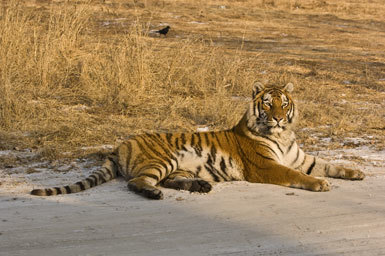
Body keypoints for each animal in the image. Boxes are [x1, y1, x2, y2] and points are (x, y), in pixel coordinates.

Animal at [31, 83, 364, 199]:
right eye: (268, 104)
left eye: (284, 103)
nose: (280, 118)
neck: (282, 136)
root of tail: (120, 145)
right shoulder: (267, 167)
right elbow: (296, 175)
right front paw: (320, 184)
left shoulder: (301, 158)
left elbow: (328, 164)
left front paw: (356, 172)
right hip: (163, 159)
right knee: (138, 182)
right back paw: (154, 194)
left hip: (178, 165)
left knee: (167, 180)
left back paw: (200, 186)